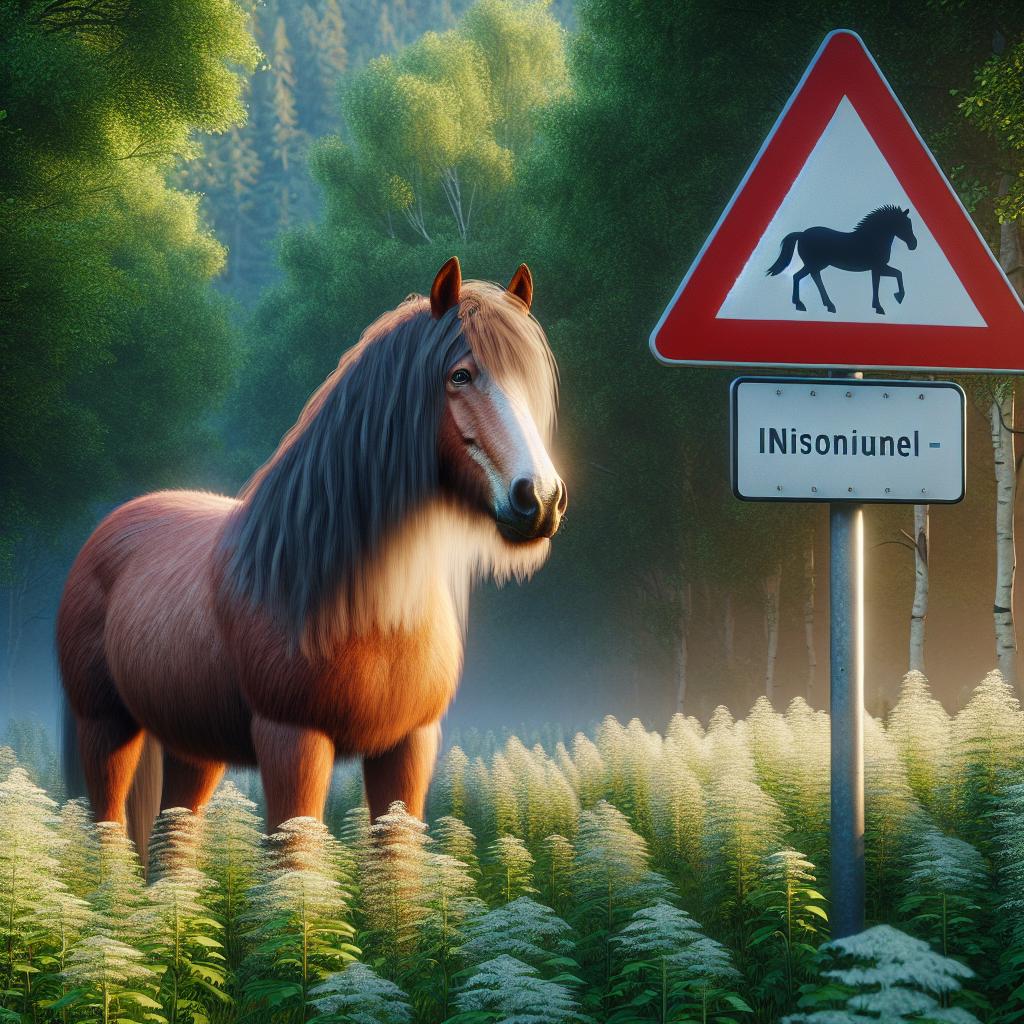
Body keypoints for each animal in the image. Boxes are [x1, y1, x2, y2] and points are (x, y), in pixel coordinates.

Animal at [58, 257, 566, 856]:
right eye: (460, 375)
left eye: (530, 383)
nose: (540, 499)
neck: (366, 603)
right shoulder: (293, 743)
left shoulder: (409, 747)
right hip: (106, 728)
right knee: (108, 831)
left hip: (194, 747)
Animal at [766, 205, 917, 315]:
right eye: (904, 224)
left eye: (909, 223)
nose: (913, 244)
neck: (871, 239)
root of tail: (802, 234)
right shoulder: (877, 267)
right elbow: (881, 283)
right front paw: (883, 305)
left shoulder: (878, 268)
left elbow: (897, 274)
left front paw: (894, 298)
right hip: (814, 264)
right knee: (800, 276)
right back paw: (805, 304)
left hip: (816, 265)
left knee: (809, 277)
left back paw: (823, 305)